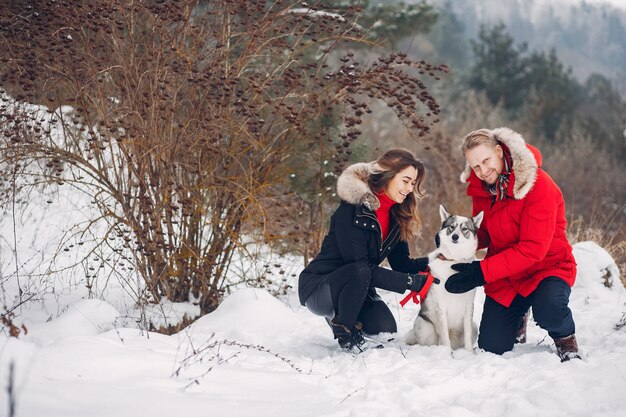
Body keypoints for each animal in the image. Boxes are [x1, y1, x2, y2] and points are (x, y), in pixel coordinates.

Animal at [402, 205, 486, 352]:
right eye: (451, 227)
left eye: (464, 229)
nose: (455, 236)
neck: (454, 261)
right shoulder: (440, 307)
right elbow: (444, 336)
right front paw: (447, 354)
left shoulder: (469, 306)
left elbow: (468, 337)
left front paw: (469, 353)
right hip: (424, 326)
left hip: (475, 326)